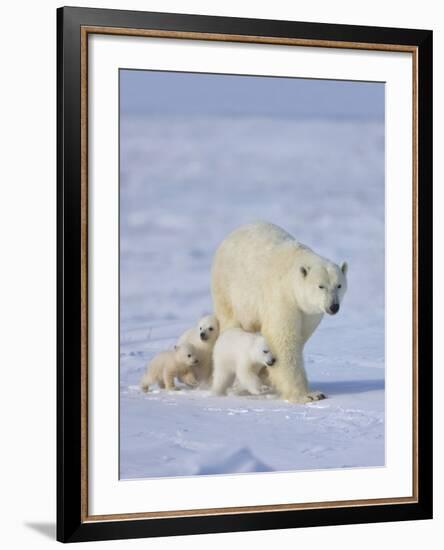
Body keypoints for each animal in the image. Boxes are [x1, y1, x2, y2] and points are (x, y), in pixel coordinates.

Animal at [210, 221, 348, 406]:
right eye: (321, 286)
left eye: (339, 285)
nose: (333, 306)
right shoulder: (281, 298)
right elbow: (283, 339)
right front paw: (309, 395)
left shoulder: (308, 313)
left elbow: (300, 336)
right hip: (229, 290)